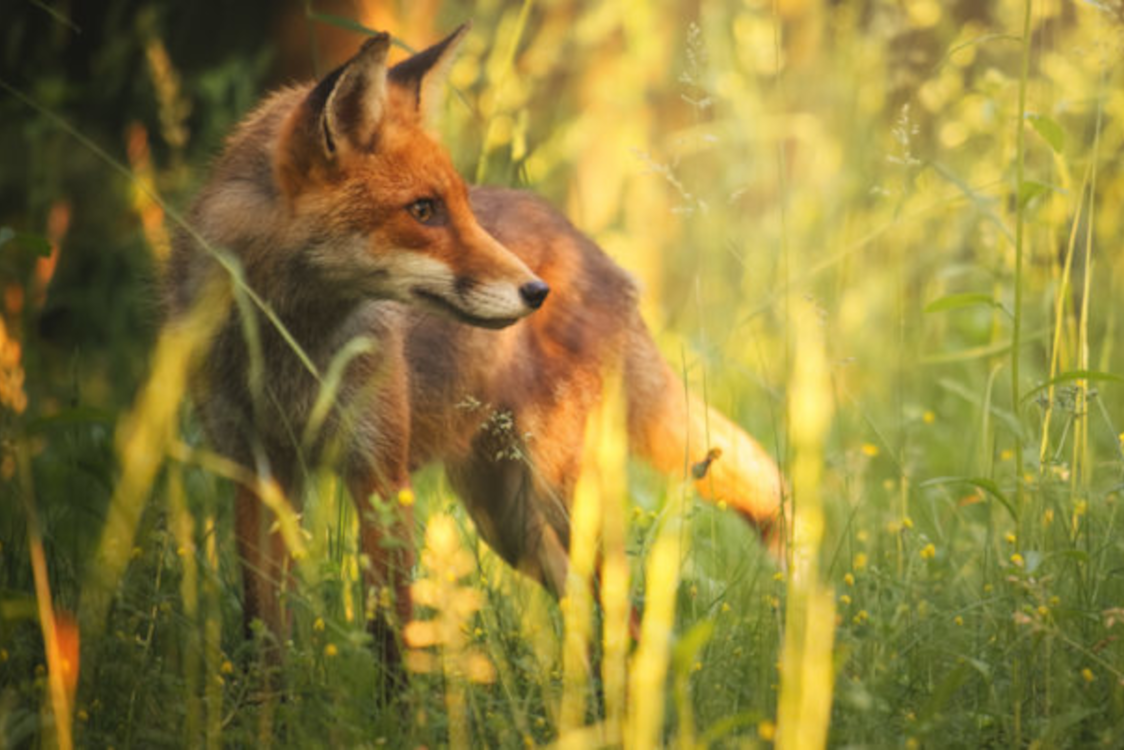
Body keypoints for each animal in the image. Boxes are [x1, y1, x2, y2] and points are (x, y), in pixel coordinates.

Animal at [164, 23, 782, 670]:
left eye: (459, 203)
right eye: (423, 210)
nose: (536, 291)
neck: (289, 346)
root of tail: (593, 252)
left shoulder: (381, 475)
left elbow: (393, 641)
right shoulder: (255, 471)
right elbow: (263, 639)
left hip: (561, 501)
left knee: (626, 617)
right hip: (509, 523)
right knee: (587, 621)